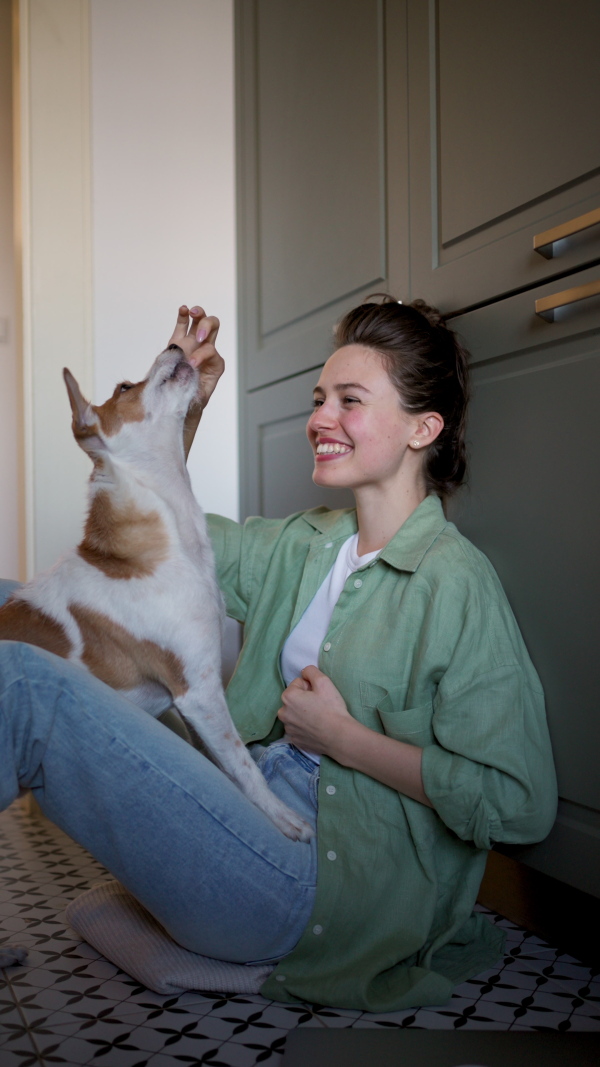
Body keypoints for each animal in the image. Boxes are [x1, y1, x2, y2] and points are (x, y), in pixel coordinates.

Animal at [2, 343, 313, 840]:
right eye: (124, 387)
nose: (175, 345)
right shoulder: (199, 691)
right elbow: (243, 764)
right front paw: (282, 817)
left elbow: (222, 760)